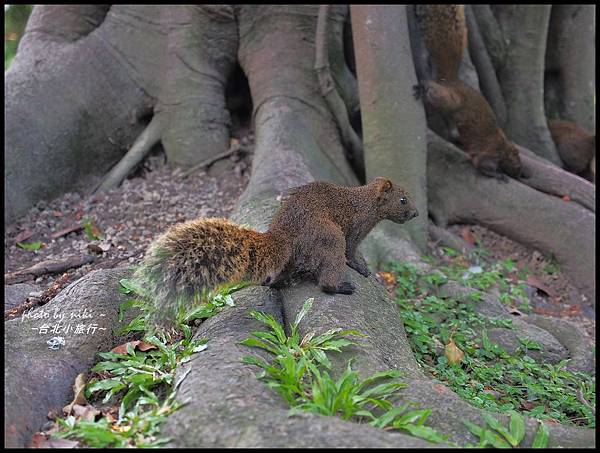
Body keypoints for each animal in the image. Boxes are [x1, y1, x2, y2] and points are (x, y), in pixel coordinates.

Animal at [135, 177, 418, 324]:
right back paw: (341, 286)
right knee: (325, 278)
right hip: (329, 236)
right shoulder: (356, 229)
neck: (364, 201)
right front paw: (361, 266)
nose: (416, 213)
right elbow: (351, 252)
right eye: (403, 199)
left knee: (276, 278)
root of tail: (282, 234)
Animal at [412, 4, 520, 180]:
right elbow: (483, 165)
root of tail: (449, 80)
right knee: (436, 94)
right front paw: (498, 175)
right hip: (449, 99)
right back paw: (423, 86)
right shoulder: (490, 153)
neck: (503, 145)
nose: (521, 174)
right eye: (517, 163)